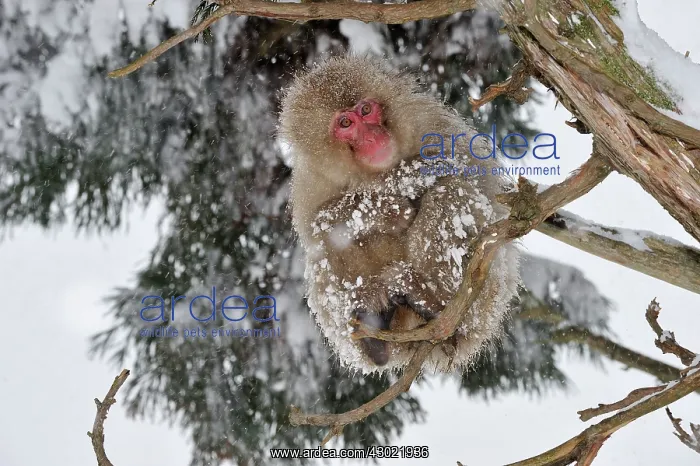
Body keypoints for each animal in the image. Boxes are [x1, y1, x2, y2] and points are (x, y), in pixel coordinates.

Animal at [278, 55, 521, 373]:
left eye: (366, 110)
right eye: (346, 123)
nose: (372, 137)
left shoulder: (432, 123)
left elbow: (470, 173)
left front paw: (408, 176)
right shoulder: (309, 183)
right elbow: (318, 223)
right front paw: (389, 207)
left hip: (487, 299)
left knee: (449, 192)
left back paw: (433, 303)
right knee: (326, 246)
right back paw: (375, 337)